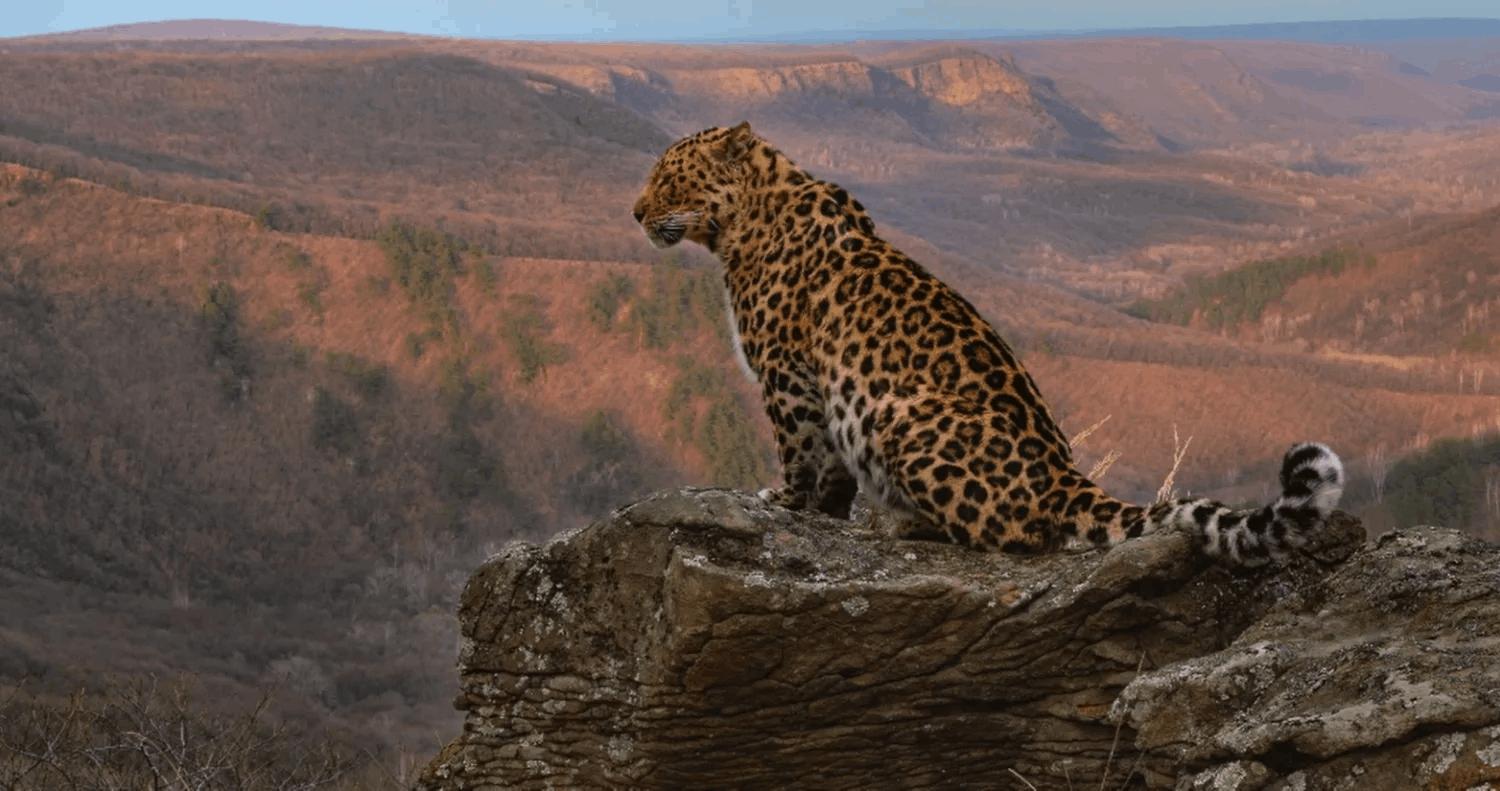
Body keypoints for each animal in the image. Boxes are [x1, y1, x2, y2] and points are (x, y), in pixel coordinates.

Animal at [633, 120, 1350, 567]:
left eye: (669, 180)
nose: (635, 213)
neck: (743, 221)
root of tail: (1063, 475)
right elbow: (830, 469)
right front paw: (825, 514)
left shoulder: (788, 376)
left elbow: (802, 450)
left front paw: (785, 503)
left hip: (900, 417)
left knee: (1021, 536)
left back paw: (907, 522)